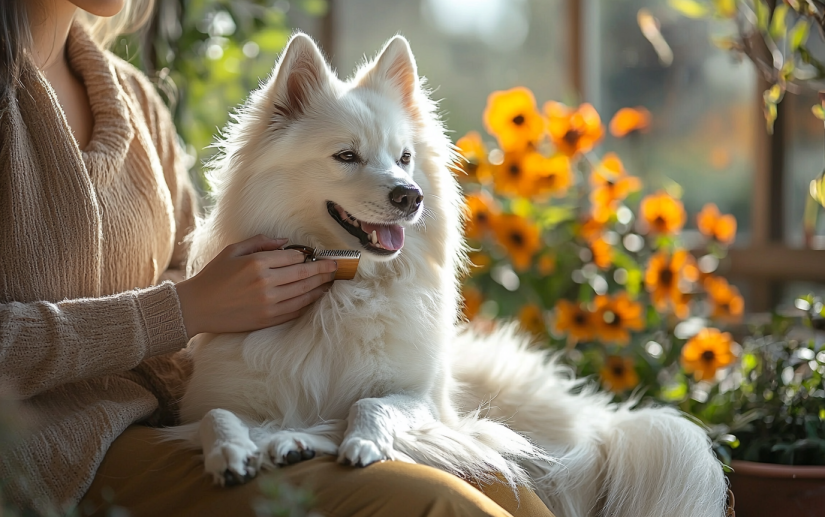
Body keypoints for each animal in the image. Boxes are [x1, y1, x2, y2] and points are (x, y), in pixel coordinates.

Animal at [171, 33, 724, 516]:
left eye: (405, 158)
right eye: (346, 155)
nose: (410, 195)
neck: (342, 291)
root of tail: (602, 422)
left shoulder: (428, 406)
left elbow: (369, 404)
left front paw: (333, 439)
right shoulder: (208, 404)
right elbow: (216, 416)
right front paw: (234, 451)